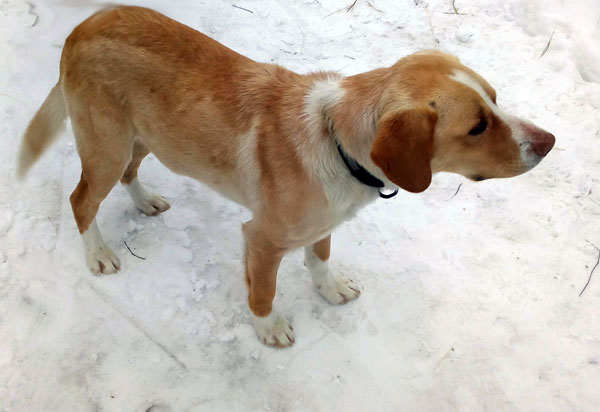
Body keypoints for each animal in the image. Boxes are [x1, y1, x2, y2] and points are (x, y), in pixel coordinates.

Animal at [17, 6, 555, 347]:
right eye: (477, 126)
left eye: (495, 99)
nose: (549, 142)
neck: (336, 142)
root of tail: (82, 27)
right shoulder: (261, 238)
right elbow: (263, 291)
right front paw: (269, 328)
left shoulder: (322, 224)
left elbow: (320, 256)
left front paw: (330, 289)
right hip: (106, 145)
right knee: (81, 200)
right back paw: (99, 254)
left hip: (147, 136)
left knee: (130, 174)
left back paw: (145, 201)